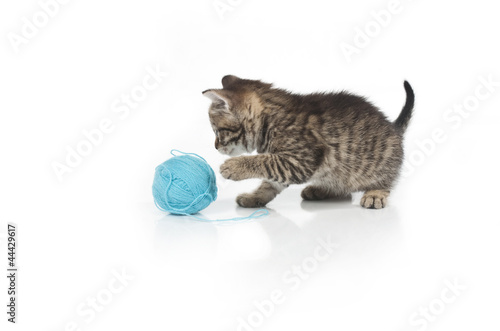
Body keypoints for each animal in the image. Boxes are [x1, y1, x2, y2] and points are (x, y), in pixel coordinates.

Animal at [203, 76, 414, 209]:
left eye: (218, 131)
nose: (215, 146)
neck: (271, 119)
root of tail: (394, 129)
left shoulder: (299, 160)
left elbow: (265, 162)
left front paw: (234, 167)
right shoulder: (288, 164)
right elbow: (269, 183)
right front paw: (255, 197)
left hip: (379, 165)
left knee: (385, 180)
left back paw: (375, 194)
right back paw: (321, 190)